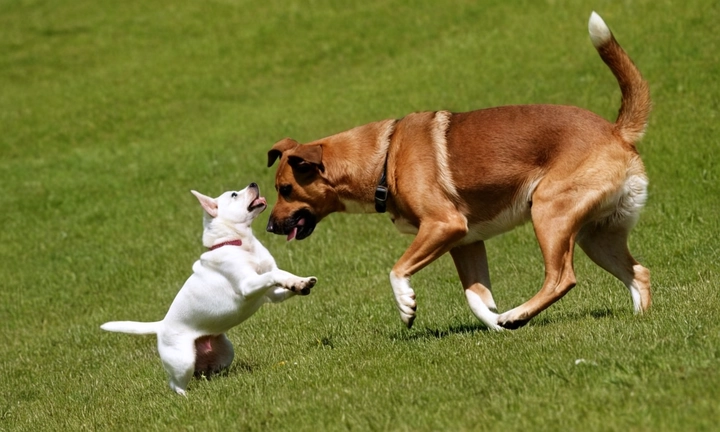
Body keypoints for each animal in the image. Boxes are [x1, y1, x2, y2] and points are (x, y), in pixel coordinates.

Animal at [101, 182, 316, 394]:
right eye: (234, 194)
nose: (253, 183)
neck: (239, 243)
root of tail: (161, 325)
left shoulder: (270, 294)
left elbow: (281, 278)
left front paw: (300, 283)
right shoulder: (248, 285)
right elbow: (274, 274)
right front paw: (296, 281)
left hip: (225, 351)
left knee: (206, 371)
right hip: (182, 360)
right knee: (175, 384)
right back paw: (185, 397)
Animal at [266, 12, 652, 330]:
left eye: (285, 189)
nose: (269, 227)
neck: (384, 157)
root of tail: (616, 131)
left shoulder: (444, 225)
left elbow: (397, 270)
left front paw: (407, 306)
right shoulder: (466, 240)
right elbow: (476, 297)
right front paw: (495, 325)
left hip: (549, 212)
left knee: (562, 278)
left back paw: (518, 314)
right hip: (596, 234)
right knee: (639, 273)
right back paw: (640, 319)